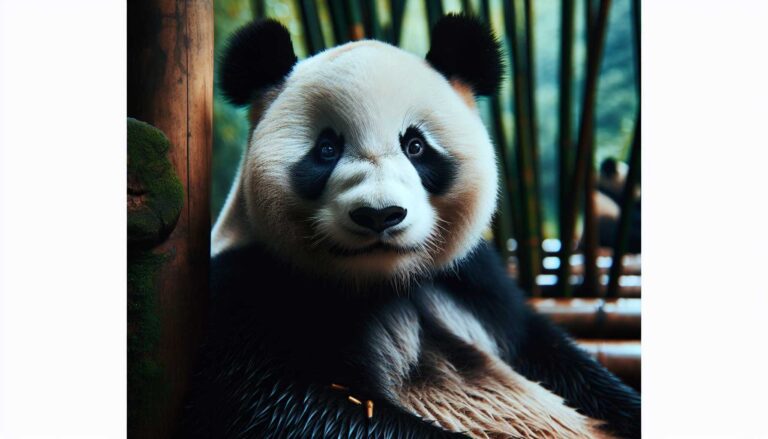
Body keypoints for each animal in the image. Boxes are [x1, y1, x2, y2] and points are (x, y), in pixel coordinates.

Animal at [183, 15, 640, 439]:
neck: (385, 280)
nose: (379, 214)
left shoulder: (473, 280)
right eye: (326, 149)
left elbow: (552, 353)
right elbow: (281, 406)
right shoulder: (248, 291)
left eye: (415, 146)